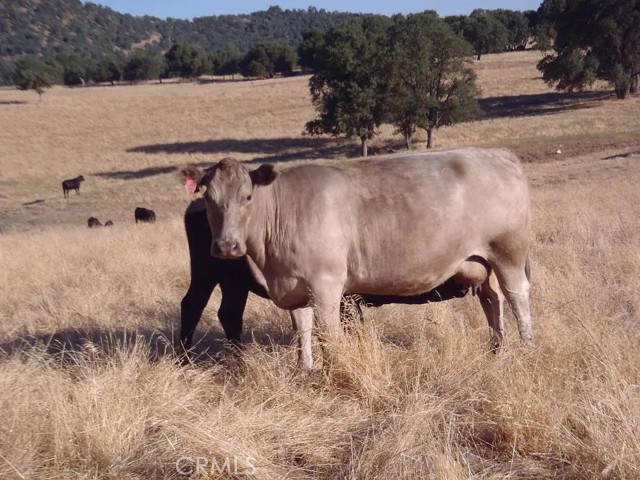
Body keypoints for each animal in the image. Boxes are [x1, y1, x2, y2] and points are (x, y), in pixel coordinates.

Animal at [178, 198, 468, 356]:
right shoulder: (345, 299)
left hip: (228, 282)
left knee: (223, 312)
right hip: (213, 277)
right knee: (197, 306)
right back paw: (190, 358)